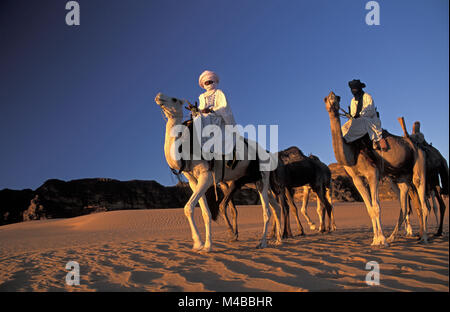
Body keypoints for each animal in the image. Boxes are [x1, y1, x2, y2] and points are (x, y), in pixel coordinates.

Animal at [155, 92, 282, 251]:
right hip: (255, 182)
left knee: (267, 210)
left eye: (174, 99)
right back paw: (278, 240)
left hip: (262, 177)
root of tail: (268, 153)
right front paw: (199, 244)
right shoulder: (193, 181)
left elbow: (189, 207)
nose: (158, 96)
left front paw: (207, 246)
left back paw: (263, 242)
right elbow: (202, 212)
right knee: (276, 207)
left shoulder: (207, 176)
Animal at [324, 91, 428, 245]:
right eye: (325, 99)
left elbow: (377, 206)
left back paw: (424, 238)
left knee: (423, 202)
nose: (332, 102)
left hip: (418, 166)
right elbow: (369, 209)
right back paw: (394, 237)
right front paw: (375, 239)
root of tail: (415, 144)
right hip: (400, 177)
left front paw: (382, 240)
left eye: (337, 98)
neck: (352, 151)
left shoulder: (373, 173)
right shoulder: (356, 178)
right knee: (404, 206)